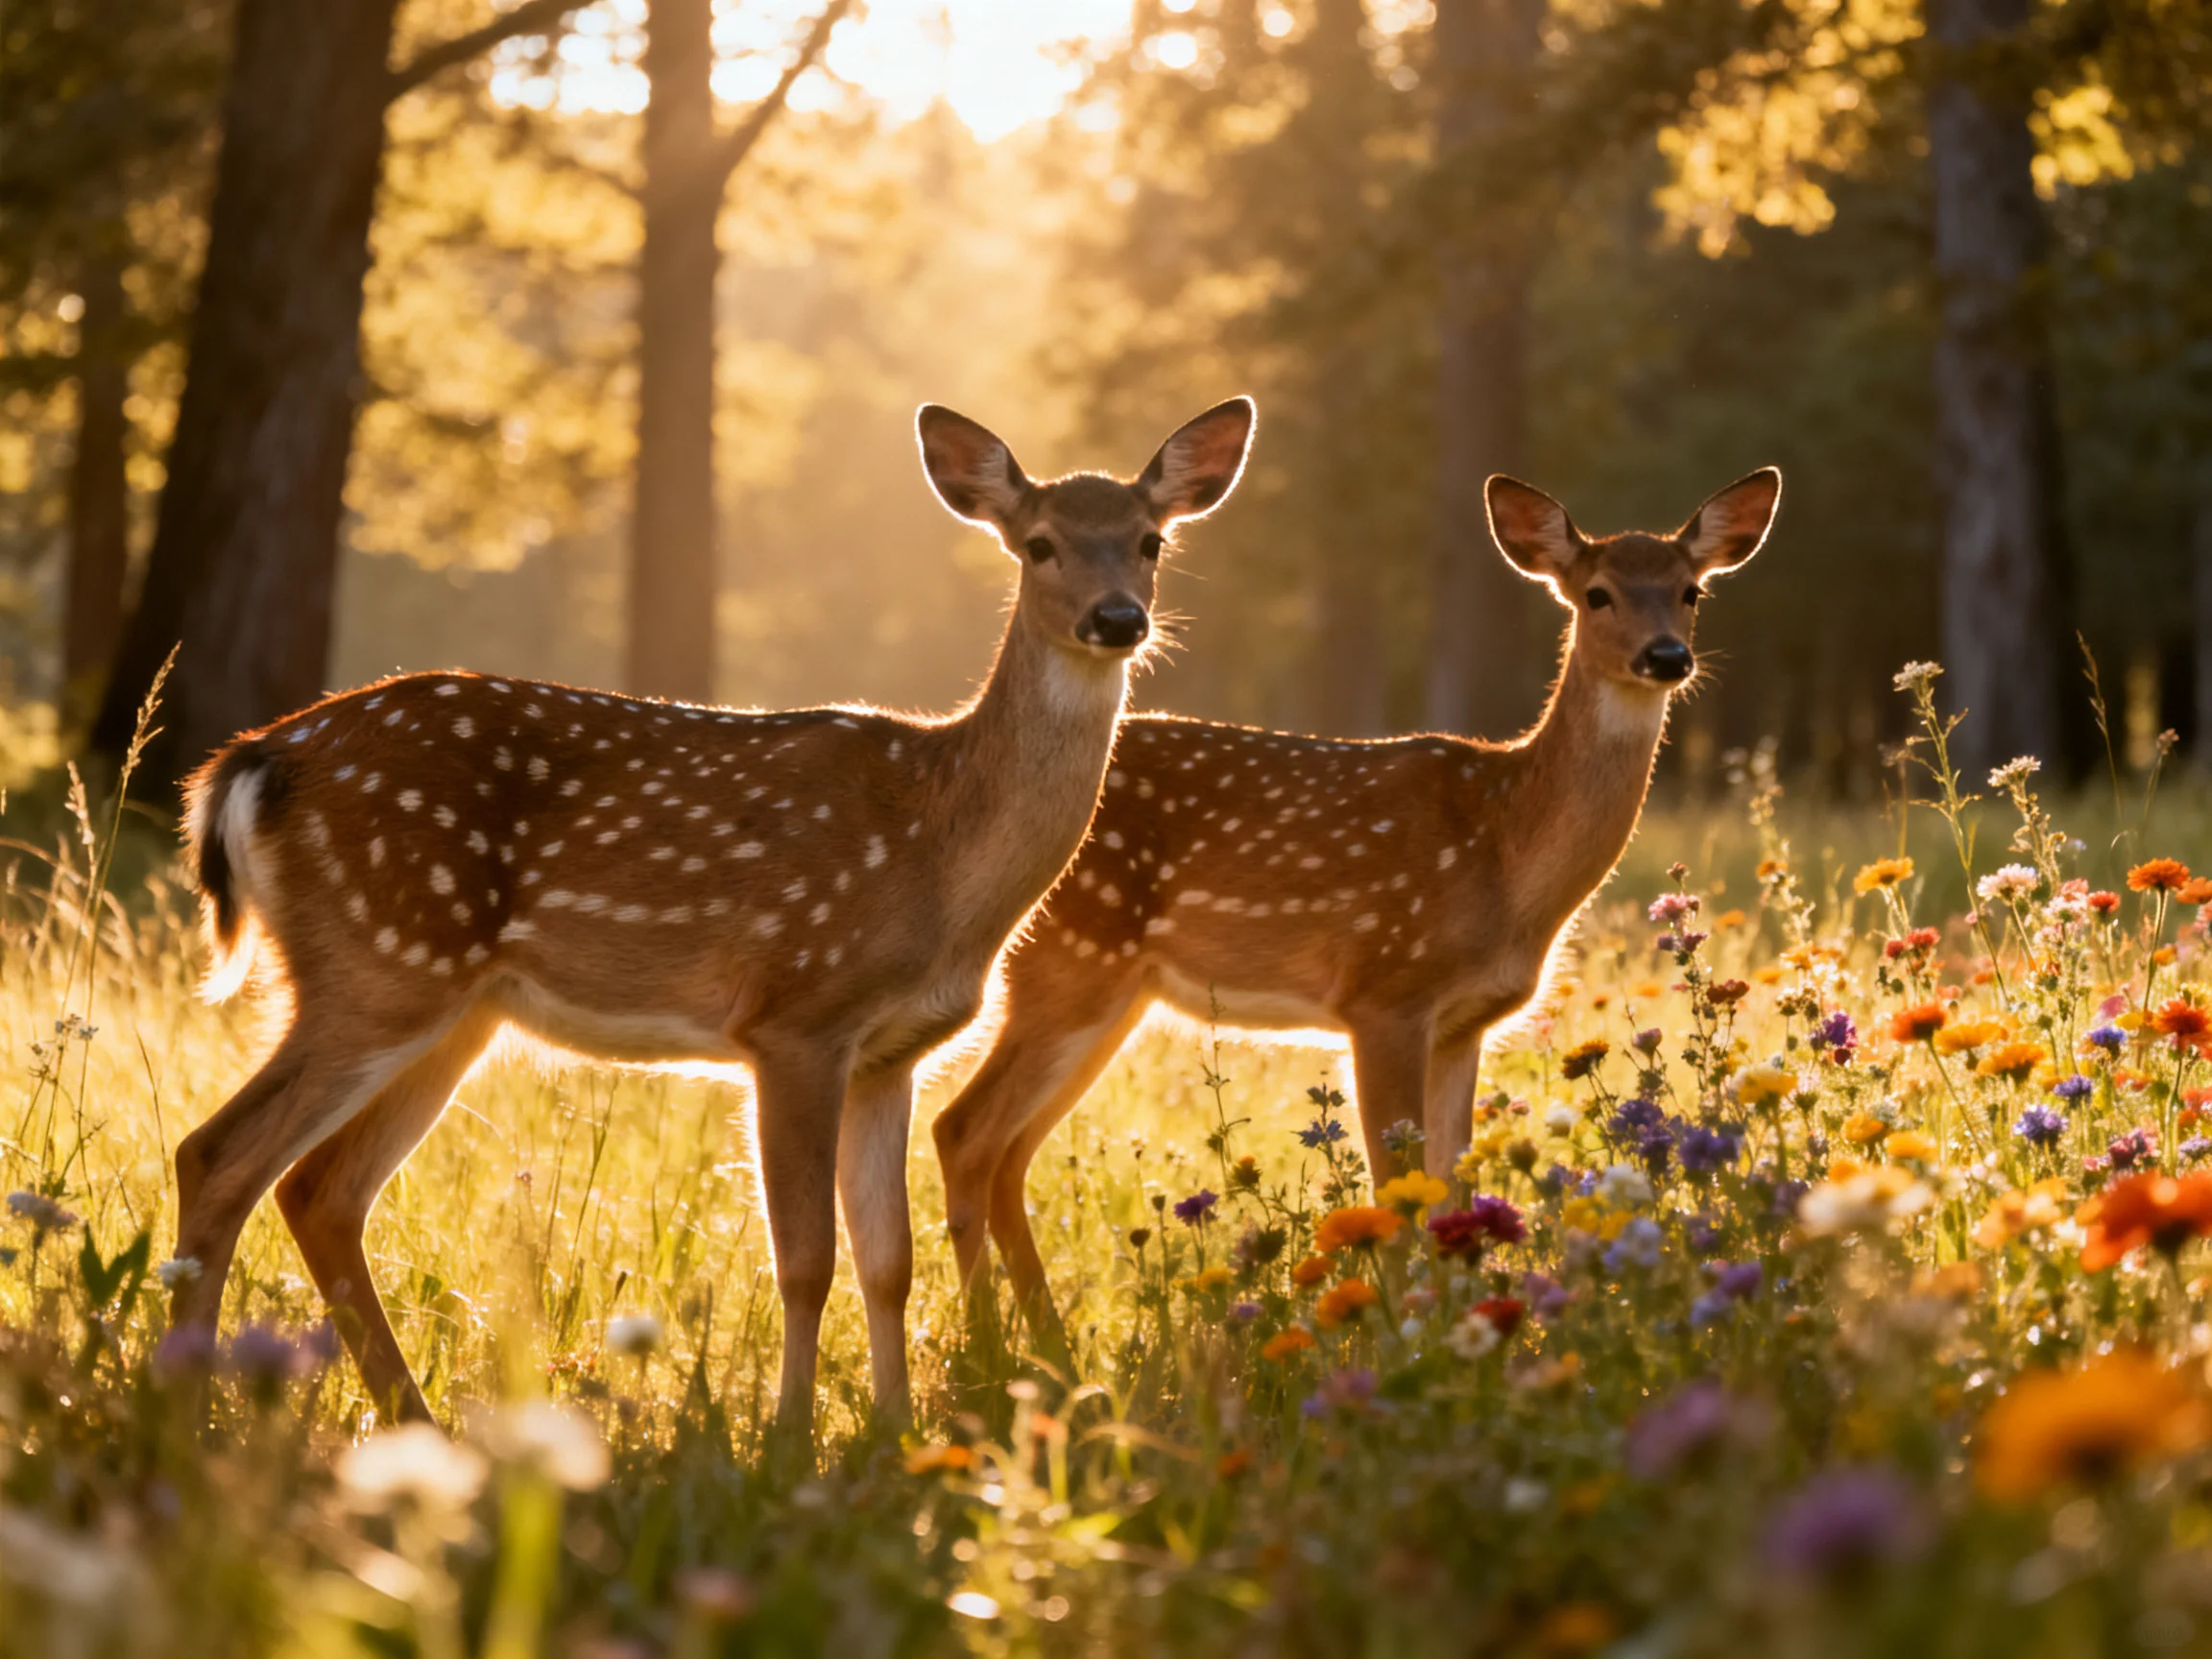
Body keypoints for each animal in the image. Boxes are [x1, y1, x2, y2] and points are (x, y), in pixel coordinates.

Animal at [169, 396, 1256, 1440]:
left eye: (1151, 540)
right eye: (1037, 543)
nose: (1117, 618)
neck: (940, 854)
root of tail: (253, 761)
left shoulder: (890, 1052)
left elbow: (888, 1261)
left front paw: (896, 1436)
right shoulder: (796, 1015)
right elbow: (806, 1260)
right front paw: (790, 1441)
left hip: (451, 1009)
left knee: (320, 1190)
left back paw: (408, 1421)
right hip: (378, 960)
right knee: (219, 1156)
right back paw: (180, 1415)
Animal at [932, 467, 1781, 1333]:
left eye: (1691, 591)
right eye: (1598, 593)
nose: (1666, 655)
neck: (1506, 852)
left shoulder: (1463, 1021)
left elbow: (1451, 1188)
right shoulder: (1385, 991)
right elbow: (1395, 1194)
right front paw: (1401, 1335)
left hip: (1113, 992)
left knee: (1007, 1151)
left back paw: (1047, 1345)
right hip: (1072, 962)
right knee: (964, 1129)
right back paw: (996, 1347)